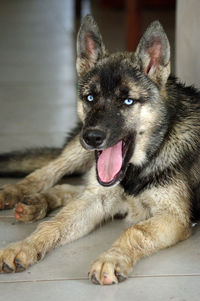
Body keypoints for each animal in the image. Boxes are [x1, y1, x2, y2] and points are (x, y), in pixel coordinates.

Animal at [0, 14, 200, 284]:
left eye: (128, 101)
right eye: (90, 98)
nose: (92, 137)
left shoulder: (174, 218)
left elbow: (134, 231)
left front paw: (111, 259)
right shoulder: (100, 199)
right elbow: (56, 223)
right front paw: (25, 246)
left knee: (74, 188)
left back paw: (40, 201)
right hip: (77, 152)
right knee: (48, 174)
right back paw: (21, 193)